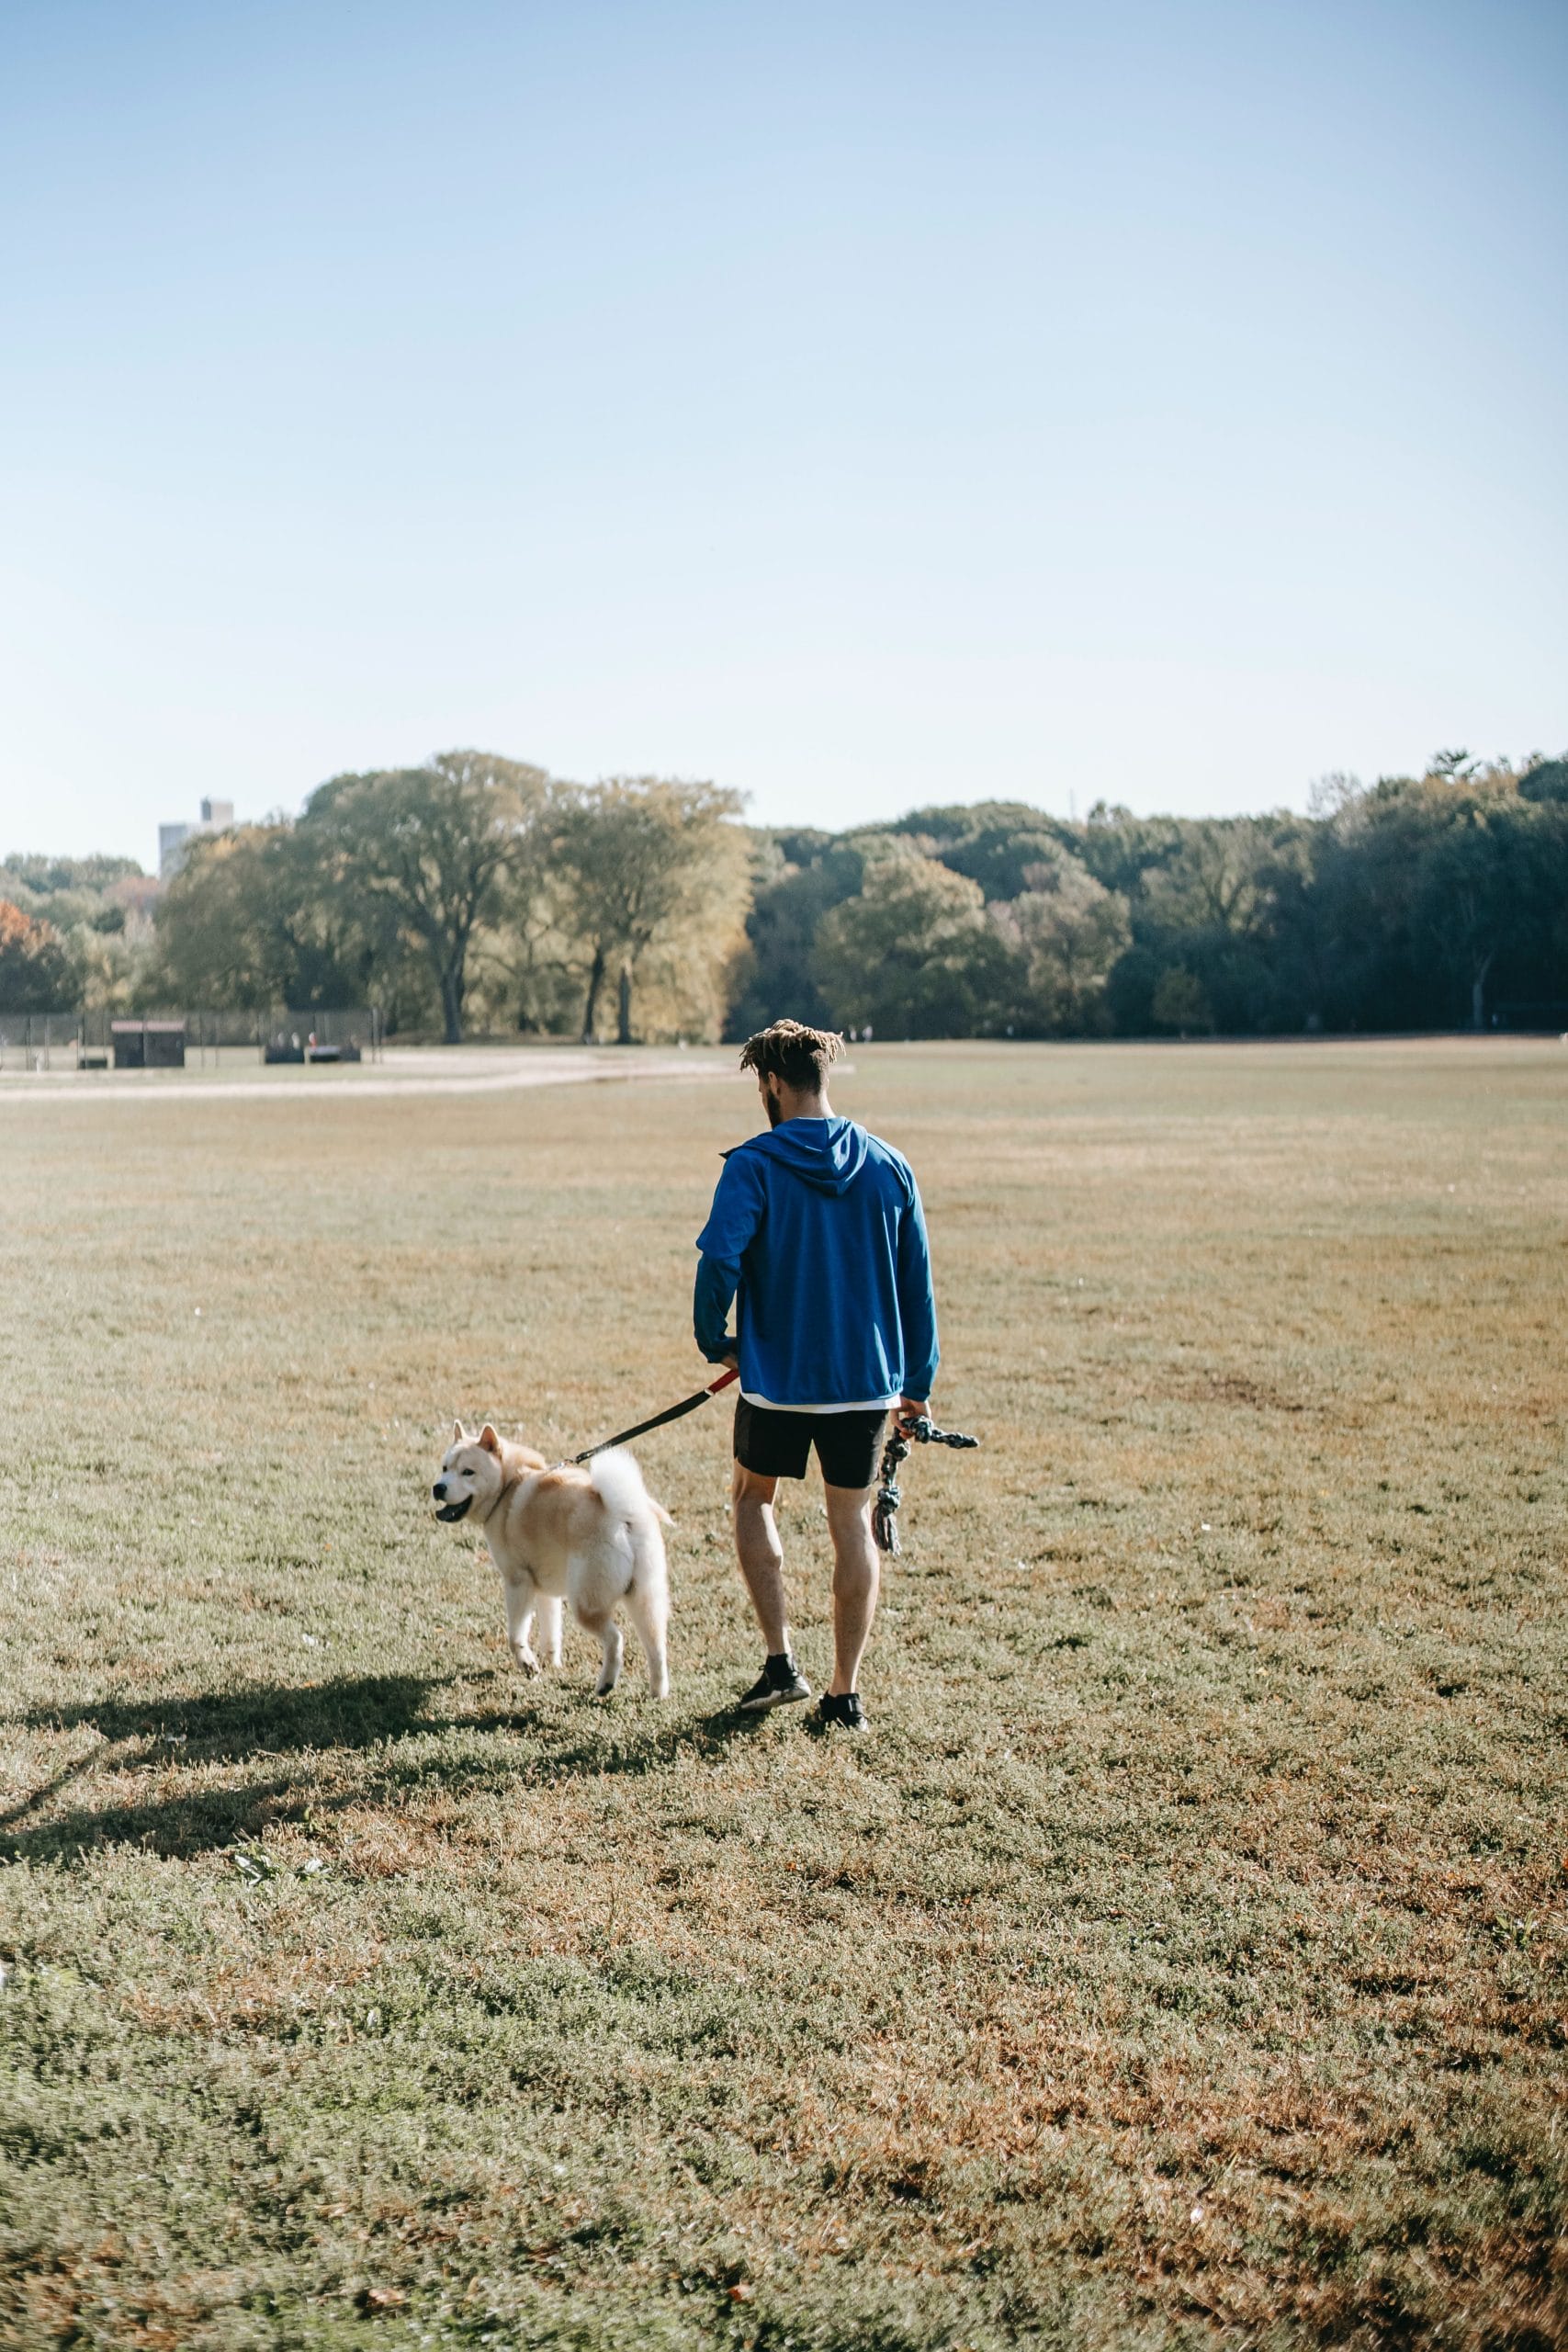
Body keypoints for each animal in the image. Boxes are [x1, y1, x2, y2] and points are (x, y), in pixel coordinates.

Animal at [432, 1420, 671, 1702]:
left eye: (468, 1472)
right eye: (445, 1468)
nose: (438, 1488)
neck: (507, 1486)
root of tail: (623, 1515)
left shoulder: (518, 1582)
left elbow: (515, 1635)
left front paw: (527, 1663)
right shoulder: (546, 1590)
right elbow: (551, 1632)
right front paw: (551, 1664)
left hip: (587, 1603)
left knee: (616, 1639)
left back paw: (606, 1683)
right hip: (644, 1598)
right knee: (657, 1649)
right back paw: (658, 1693)